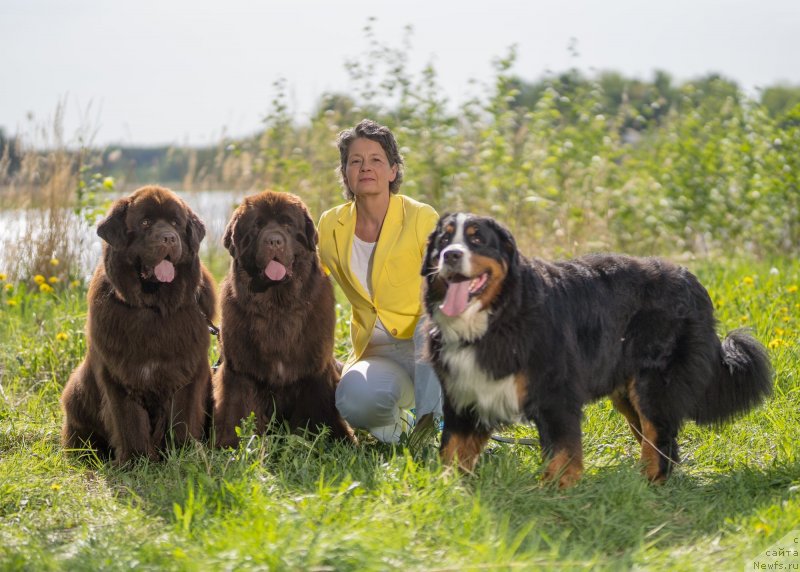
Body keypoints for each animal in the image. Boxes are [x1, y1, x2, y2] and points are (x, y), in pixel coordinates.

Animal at [60, 185, 216, 462]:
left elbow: (183, 417)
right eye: (145, 223)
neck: (153, 308)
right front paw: (135, 460)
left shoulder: (188, 370)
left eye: (176, 223)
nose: (169, 238)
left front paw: (185, 454)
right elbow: (128, 420)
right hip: (77, 389)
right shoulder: (118, 374)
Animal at [212, 190, 354, 444]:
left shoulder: (315, 370)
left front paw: (330, 440)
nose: (274, 241)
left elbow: (319, 410)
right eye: (257, 226)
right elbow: (236, 411)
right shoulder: (240, 371)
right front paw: (230, 444)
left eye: (288, 225)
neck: (277, 307)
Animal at [422, 213, 772, 488]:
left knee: (659, 438)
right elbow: (452, 450)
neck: (497, 316)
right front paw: (447, 489)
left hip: (653, 384)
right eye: (444, 239)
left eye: (476, 239)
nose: (450, 255)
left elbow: (562, 453)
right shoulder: (465, 396)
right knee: (655, 437)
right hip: (627, 392)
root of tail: (693, 281)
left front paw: (553, 492)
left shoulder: (556, 395)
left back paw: (646, 483)